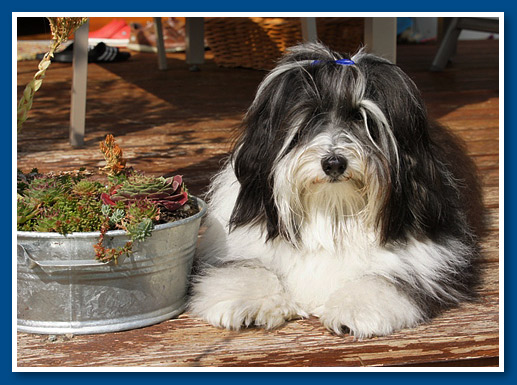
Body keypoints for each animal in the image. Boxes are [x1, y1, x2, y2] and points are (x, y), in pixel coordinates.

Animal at [188, 41, 480, 336]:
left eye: (363, 120)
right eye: (309, 118)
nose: (334, 163)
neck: (332, 210)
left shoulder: (425, 259)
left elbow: (386, 279)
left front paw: (355, 309)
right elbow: (247, 267)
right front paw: (248, 299)